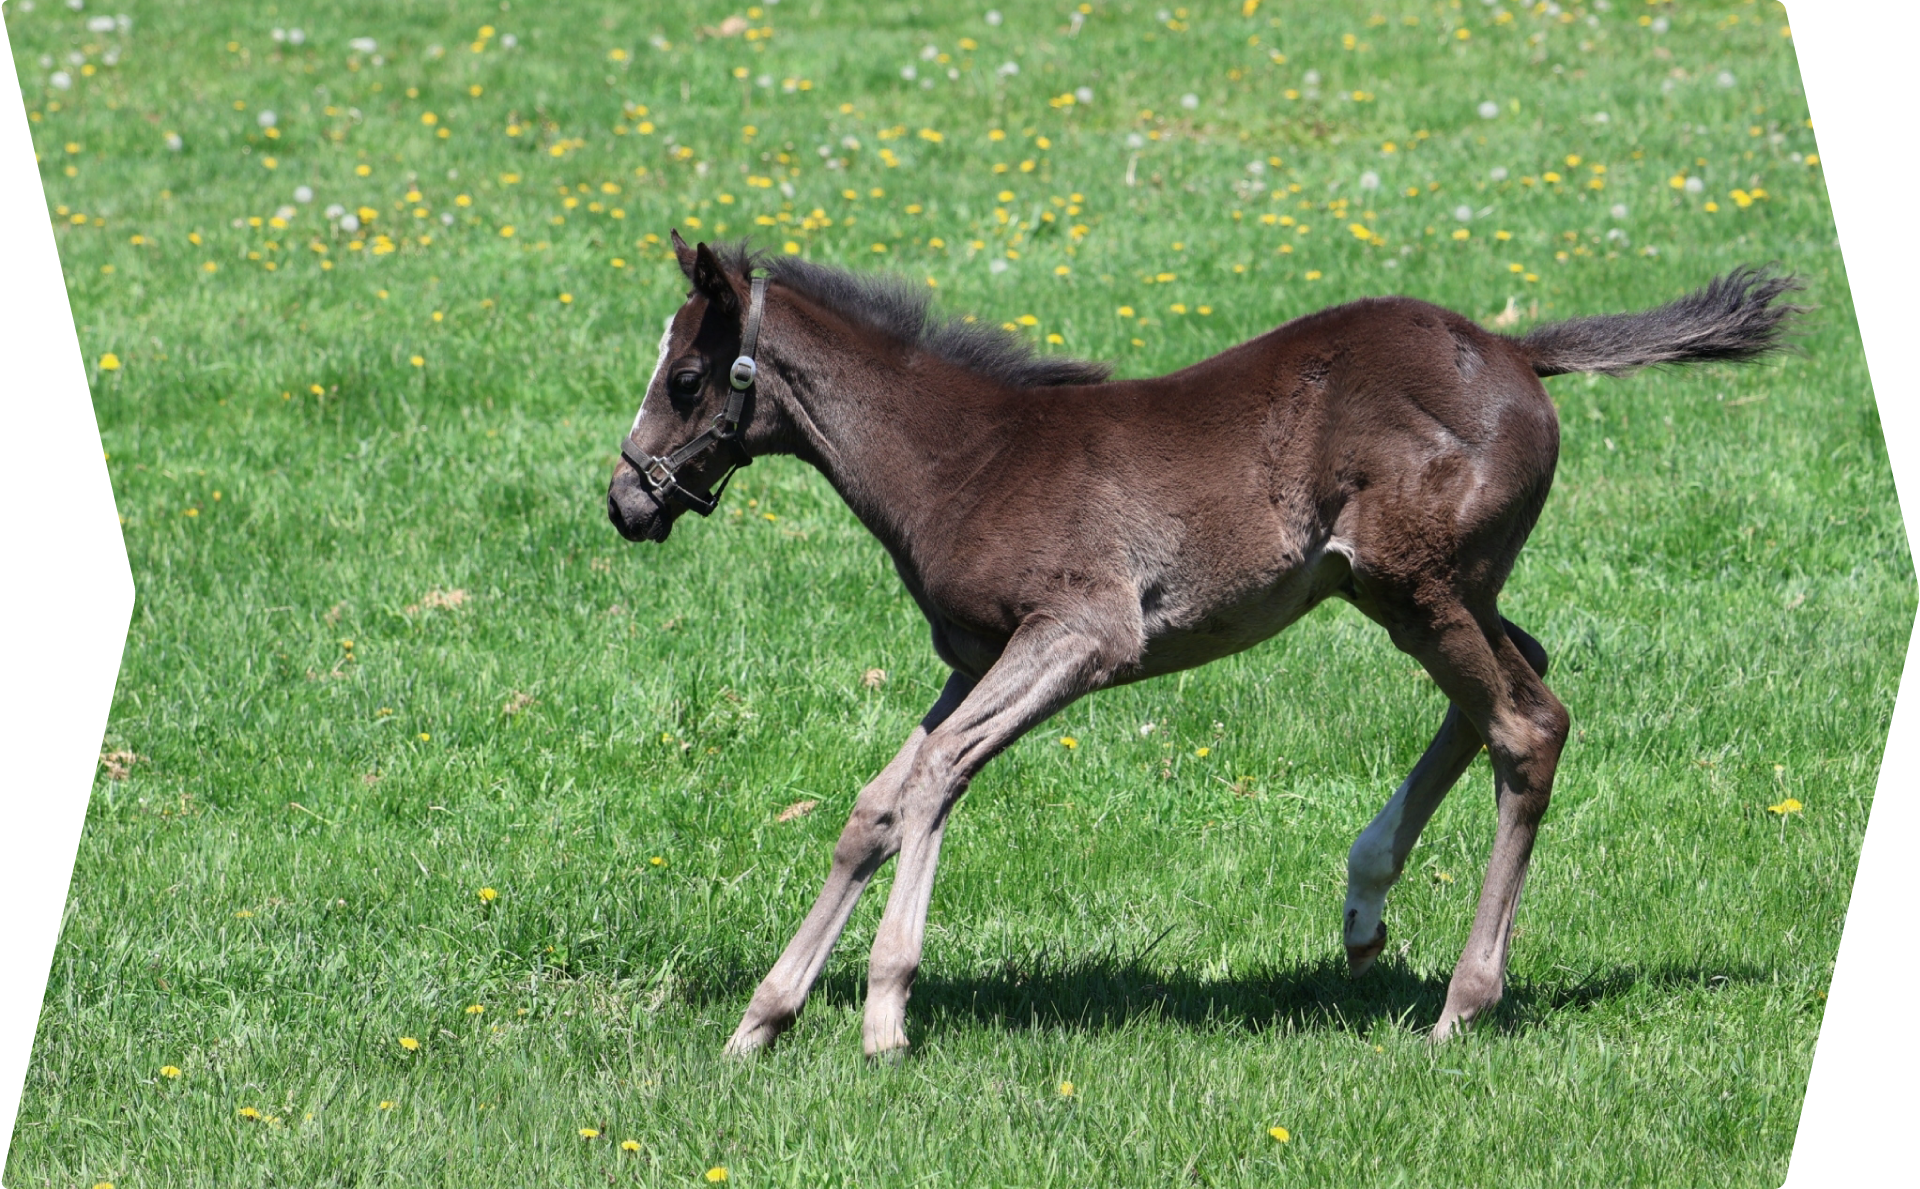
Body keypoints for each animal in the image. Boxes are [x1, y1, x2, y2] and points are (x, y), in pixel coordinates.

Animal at [610, 235, 1797, 1060]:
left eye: (686, 381)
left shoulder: (1084, 633)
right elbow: (875, 804)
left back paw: (1462, 1004)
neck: (965, 457)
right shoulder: (975, 655)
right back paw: (1364, 903)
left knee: (1528, 721)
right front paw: (764, 1017)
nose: (625, 501)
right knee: (1524, 674)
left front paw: (885, 1013)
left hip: (1412, 583)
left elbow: (937, 775)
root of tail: (1514, 347)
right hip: (1423, 588)